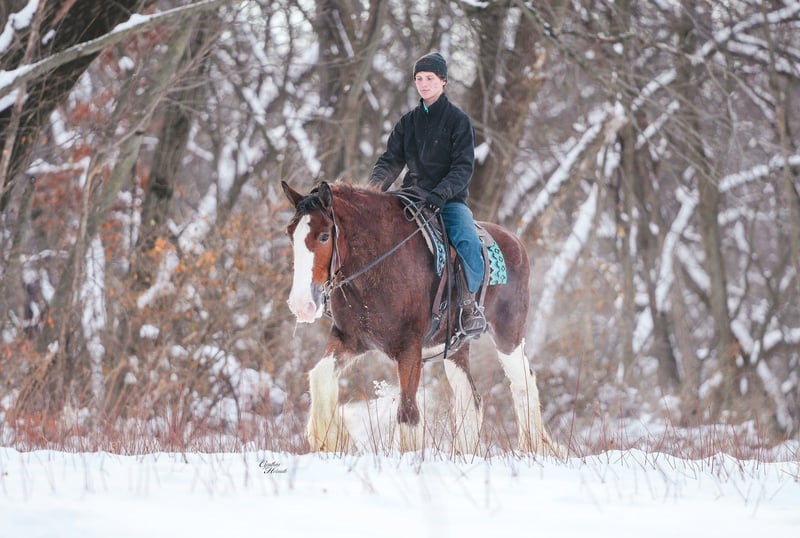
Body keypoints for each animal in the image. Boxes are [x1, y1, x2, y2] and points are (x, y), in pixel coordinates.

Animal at [282, 180, 560, 456]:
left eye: (324, 236)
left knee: (523, 383)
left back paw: (536, 447)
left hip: (508, 335)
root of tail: (514, 241)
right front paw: (332, 441)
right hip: (455, 349)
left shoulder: (409, 349)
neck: (380, 265)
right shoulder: (349, 340)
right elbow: (319, 376)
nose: (301, 305)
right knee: (471, 398)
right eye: (290, 233)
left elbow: (408, 413)